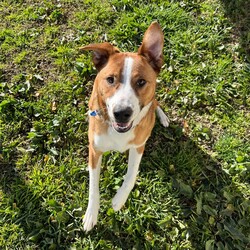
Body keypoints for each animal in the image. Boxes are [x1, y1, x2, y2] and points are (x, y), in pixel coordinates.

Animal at [81, 22, 169, 232]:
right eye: (110, 79)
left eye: (141, 81)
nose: (121, 113)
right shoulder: (94, 150)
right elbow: (93, 186)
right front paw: (91, 215)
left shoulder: (138, 147)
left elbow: (131, 176)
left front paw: (118, 200)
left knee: (156, 103)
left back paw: (162, 117)